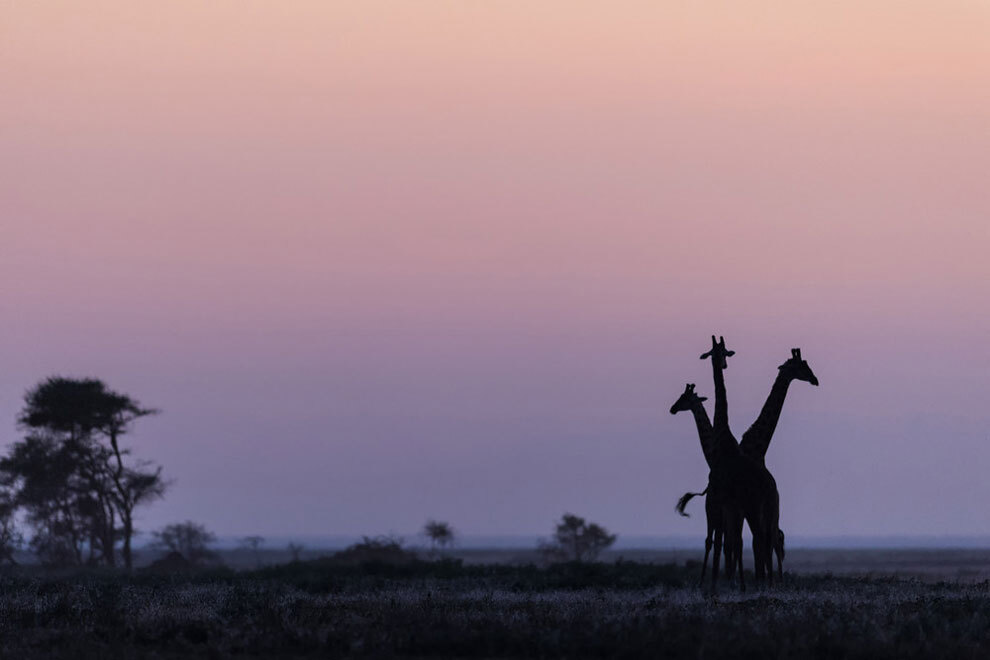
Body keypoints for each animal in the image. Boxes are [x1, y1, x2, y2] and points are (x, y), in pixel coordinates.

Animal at [700, 336, 780, 588]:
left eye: (725, 351)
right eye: (715, 352)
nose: (723, 364)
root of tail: (770, 486)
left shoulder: (719, 497)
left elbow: (722, 542)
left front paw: (714, 586)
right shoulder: (730, 504)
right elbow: (730, 542)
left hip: (754, 507)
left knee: (760, 539)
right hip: (757, 509)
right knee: (762, 539)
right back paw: (762, 584)